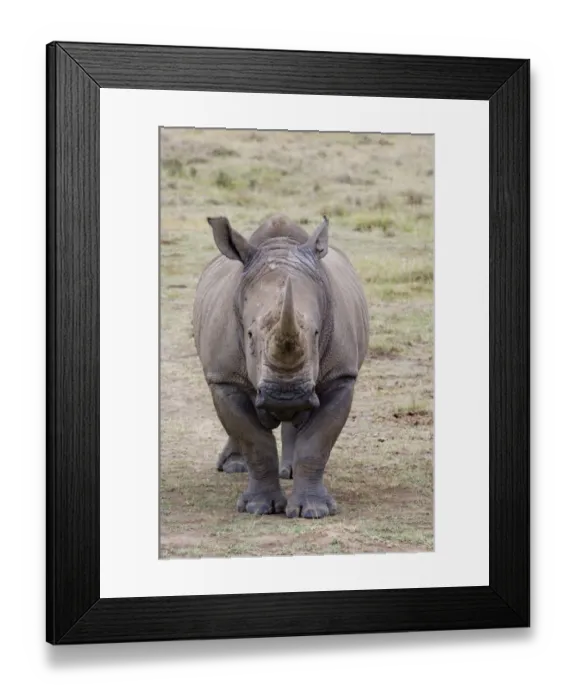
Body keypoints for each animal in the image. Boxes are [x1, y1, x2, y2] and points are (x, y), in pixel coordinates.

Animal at [192, 214, 369, 519]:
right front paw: (258, 508)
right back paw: (234, 467)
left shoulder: (341, 376)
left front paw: (313, 511)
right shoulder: (225, 377)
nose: (287, 397)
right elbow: (254, 441)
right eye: (250, 335)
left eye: (317, 334)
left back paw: (288, 471)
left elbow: (317, 442)